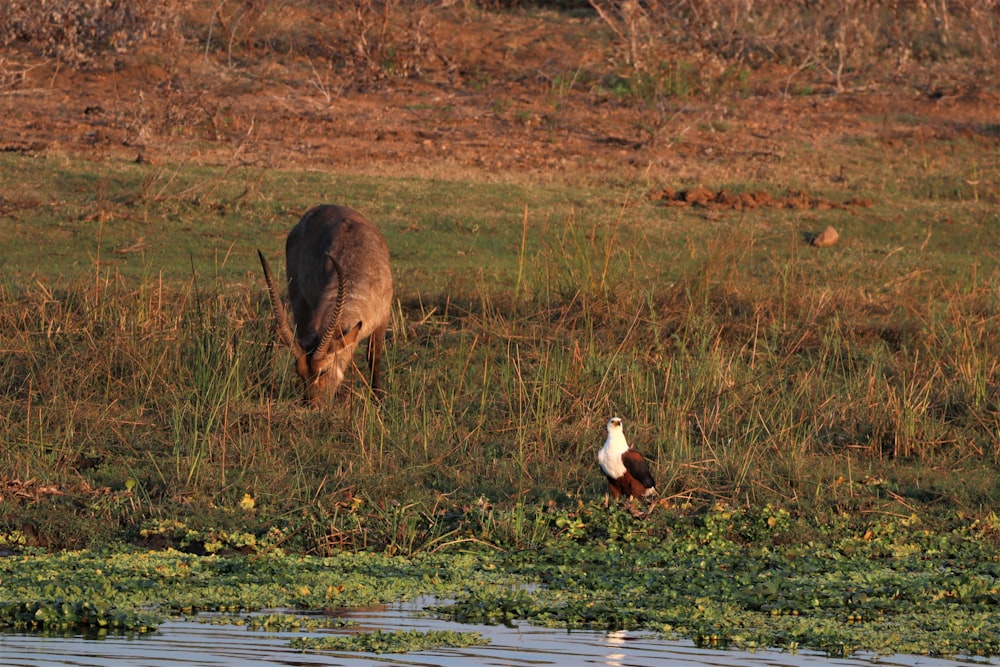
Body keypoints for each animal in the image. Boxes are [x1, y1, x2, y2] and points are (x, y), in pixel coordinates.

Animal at [260, 204, 392, 404]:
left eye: (323, 371)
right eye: (300, 374)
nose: (312, 404)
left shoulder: (383, 318)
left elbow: (373, 355)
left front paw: (379, 398)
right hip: (299, 303)